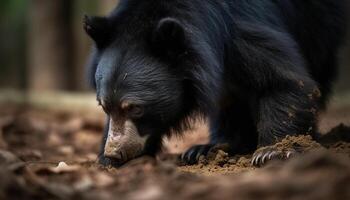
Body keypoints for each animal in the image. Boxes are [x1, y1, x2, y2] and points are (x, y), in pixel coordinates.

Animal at [84, 0, 348, 166]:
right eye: (104, 106)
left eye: (136, 108)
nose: (114, 153)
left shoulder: (237, 33)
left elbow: (283, 80)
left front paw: (272, 152)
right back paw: (209, 148)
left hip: (319, 21)